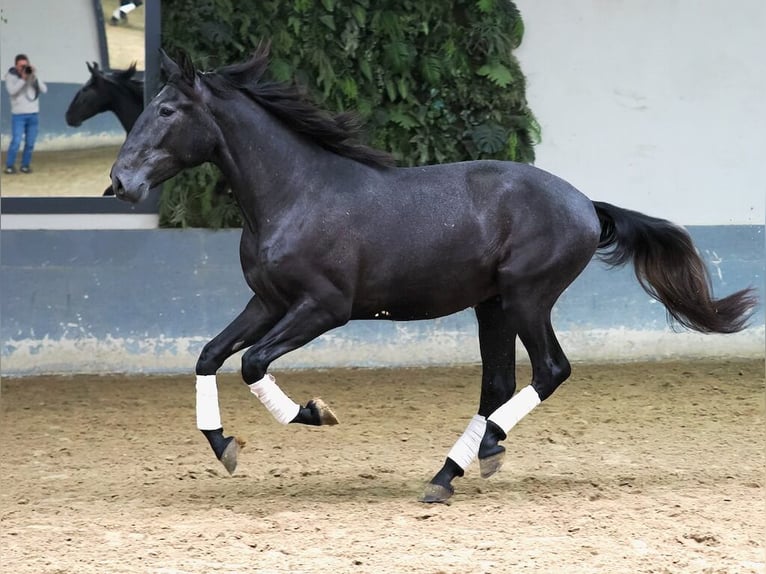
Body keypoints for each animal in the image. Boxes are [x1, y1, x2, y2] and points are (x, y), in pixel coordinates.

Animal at [111, 46, 760, 504]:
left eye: (166, 111)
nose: (120, 182)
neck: (296, 194)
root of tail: (585, 204)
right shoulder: (267, 303)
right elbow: (209, 355)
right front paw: (225, 448)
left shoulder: (323, 308)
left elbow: (250, 362)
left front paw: (316, 413)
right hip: (492, 304)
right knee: (497, 384)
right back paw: (457, 469)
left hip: (526, 297)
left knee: (550, 370)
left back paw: (471, 457)